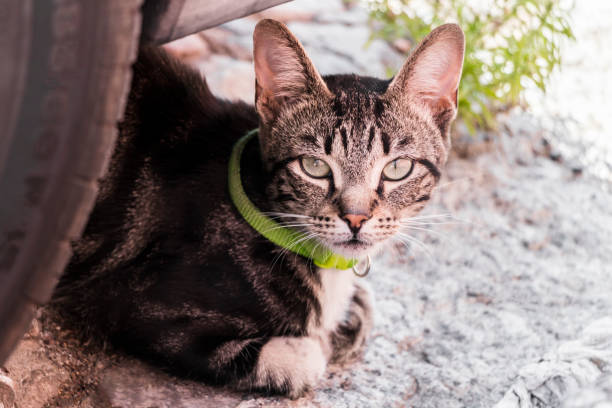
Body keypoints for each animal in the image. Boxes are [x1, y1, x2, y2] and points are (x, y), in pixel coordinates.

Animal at [52, 19, 464, 398]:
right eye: (314, 167)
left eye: (398, 168)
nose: (356, 218)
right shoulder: (137, 305)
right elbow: (305, 357)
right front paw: (318, 342)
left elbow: (361, 309)